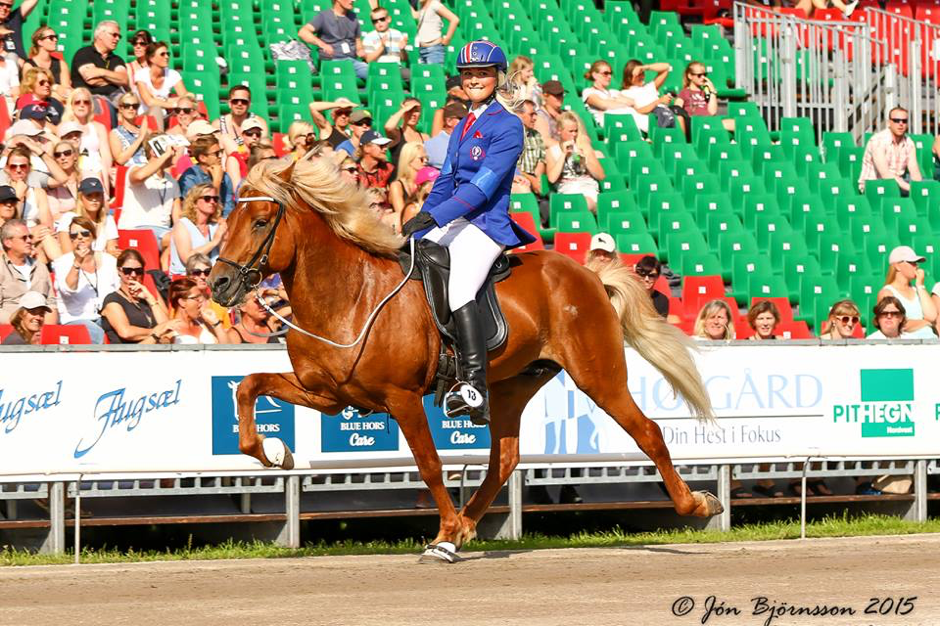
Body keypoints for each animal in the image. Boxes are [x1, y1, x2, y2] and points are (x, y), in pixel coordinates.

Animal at [207, 158, 720, 560]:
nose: (218, 285)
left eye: (259, 223)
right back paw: (464, 528)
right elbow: (250, 385)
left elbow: (430, 464)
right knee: (504, 460)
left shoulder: (400, 397)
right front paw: (274, 452)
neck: (349, 295)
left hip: (599, 375)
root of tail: (587, 274)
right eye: (228, 220)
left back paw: (697, 505)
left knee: (648, 432)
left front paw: (445, 528)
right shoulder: (328, 395)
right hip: (513, 386)